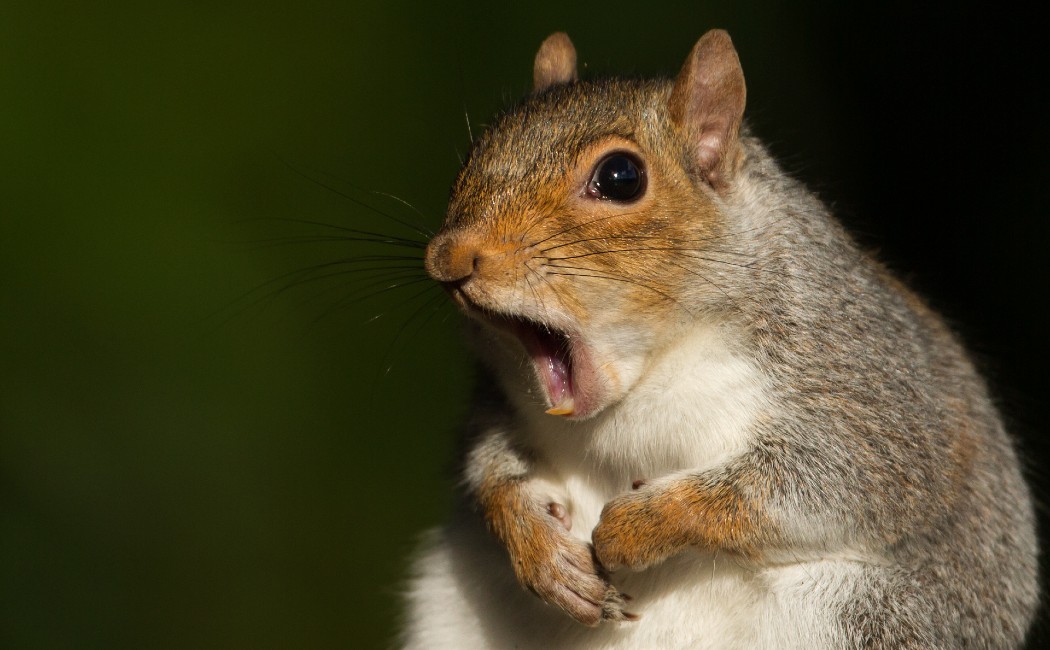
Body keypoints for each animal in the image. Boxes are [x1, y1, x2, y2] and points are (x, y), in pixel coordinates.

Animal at [400, 30, 1039, 648]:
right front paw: (539, 549)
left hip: (864, 617)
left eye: (620, 177)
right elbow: (490, 466)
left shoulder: (863, 387)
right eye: (476, 151)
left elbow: (826, 483)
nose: (448, 257)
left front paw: (638, 527)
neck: (648, 375)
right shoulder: (500, 399)